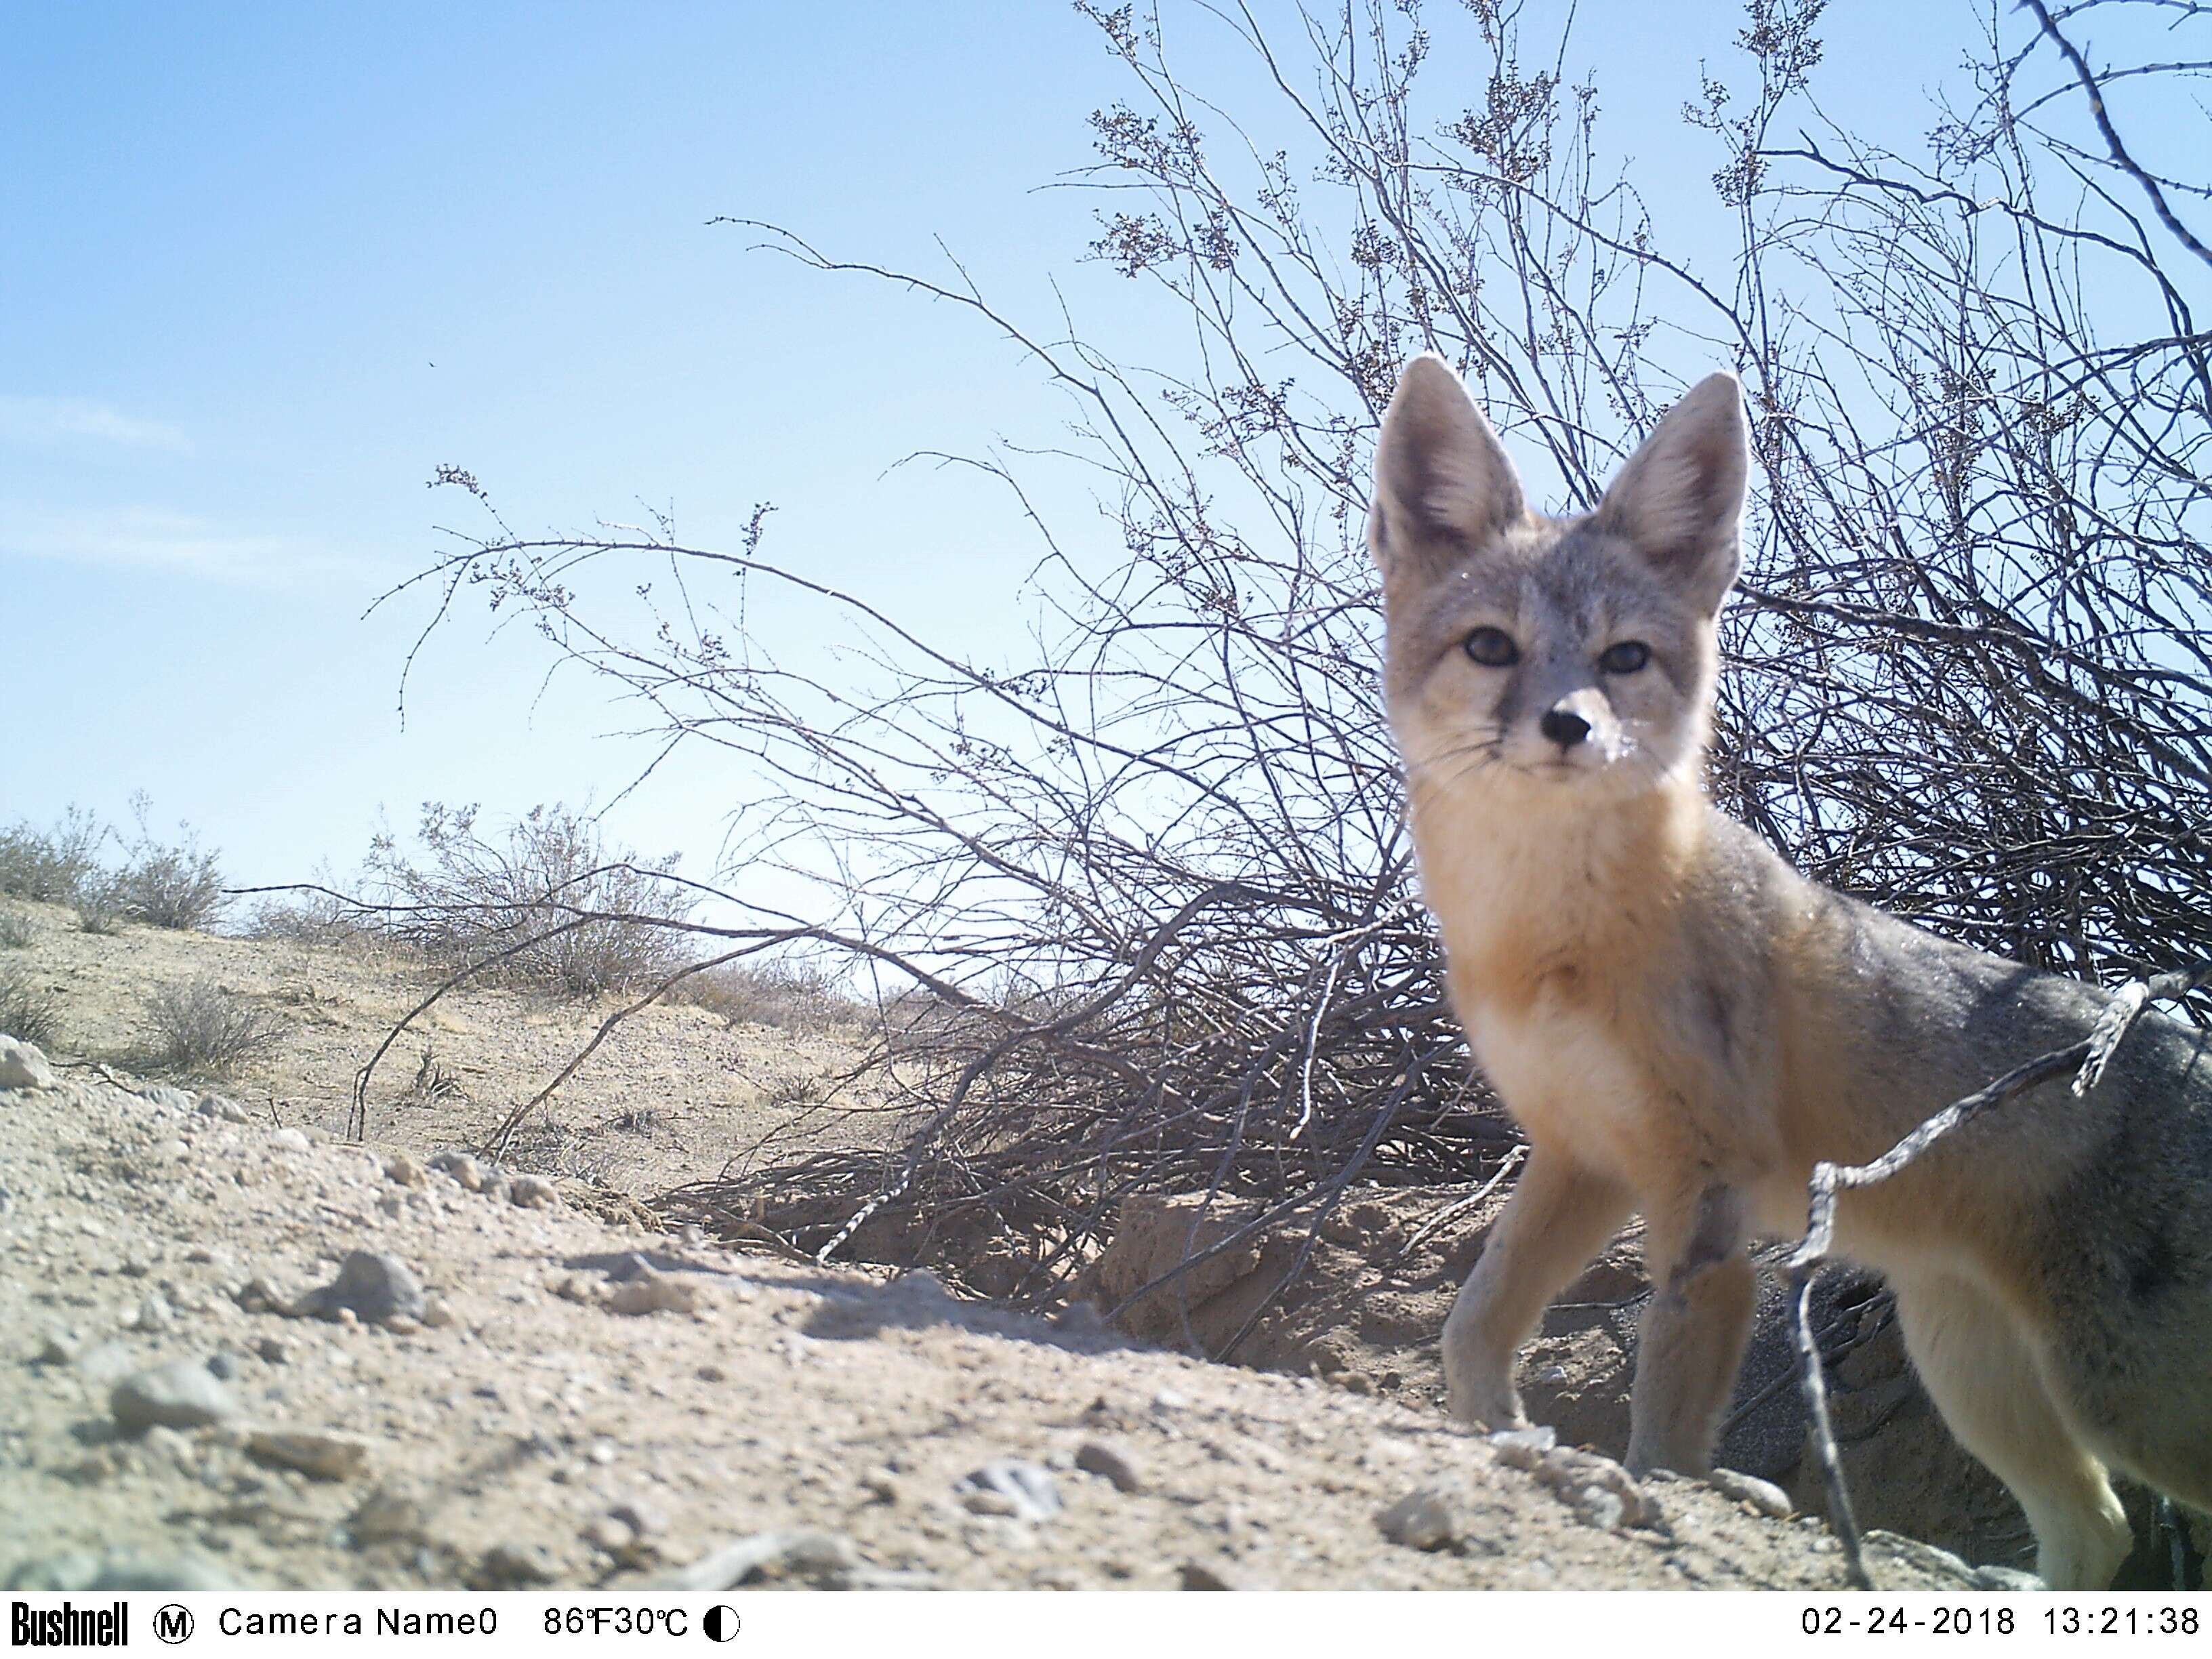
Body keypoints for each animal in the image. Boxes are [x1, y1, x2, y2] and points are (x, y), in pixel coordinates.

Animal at [1362, 354, 2212, 1601]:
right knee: (2095, 1525)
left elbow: (1668, 1405)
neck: (1552, 941)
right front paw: (1495, 1426)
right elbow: (1470, 1320)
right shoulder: (1581, 1154)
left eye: (1623, 659)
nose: (1569, 726)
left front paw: (1647, 1495)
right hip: (1971, 1362)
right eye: (1489, 647)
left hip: (2114, 1392)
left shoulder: (1701, 1184)